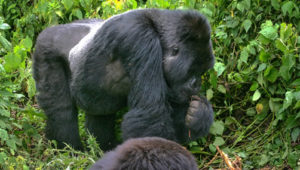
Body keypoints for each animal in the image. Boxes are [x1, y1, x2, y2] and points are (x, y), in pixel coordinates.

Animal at [32, 8, 213, 151]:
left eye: (202, 71)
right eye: (192, 70)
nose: (197, 84)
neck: (158, 32)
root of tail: (52, 29)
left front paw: (199, 115)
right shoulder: (139, 39)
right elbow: (150, 115)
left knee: (100, 115)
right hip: (45, 48)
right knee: (61, 110)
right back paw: (69, 151)